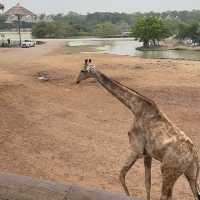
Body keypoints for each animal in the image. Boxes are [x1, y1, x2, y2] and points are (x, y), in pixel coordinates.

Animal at [76, 58, 199, 199]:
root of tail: (194, 155)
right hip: (190, 173)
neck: (135, 108)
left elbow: (121, 175)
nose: (77, 80)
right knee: (194, 193)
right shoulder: (147, 154)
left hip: (169, 169)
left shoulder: (136, 149)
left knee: (165, 195)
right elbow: (147, 183)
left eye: (82, 70)